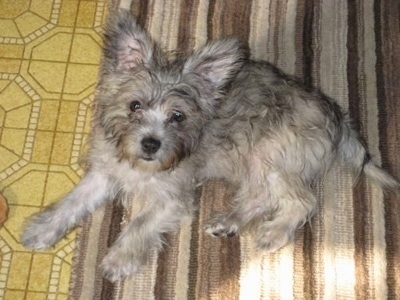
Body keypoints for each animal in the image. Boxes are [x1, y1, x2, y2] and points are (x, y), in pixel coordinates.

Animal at [21, 9, 396, 282]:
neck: (141, 167)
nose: (151, 144)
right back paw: (229, 221)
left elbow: (139, 224)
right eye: (134, 106)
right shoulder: (106, 171)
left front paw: (119, 258)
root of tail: (337, 114)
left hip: (271, 155)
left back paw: (273, 232)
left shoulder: (172, 198)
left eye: (177, 116)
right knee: (260, 196)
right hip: (253, 160)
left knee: (302, 201)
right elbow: (72, 201)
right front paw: (42, 229)